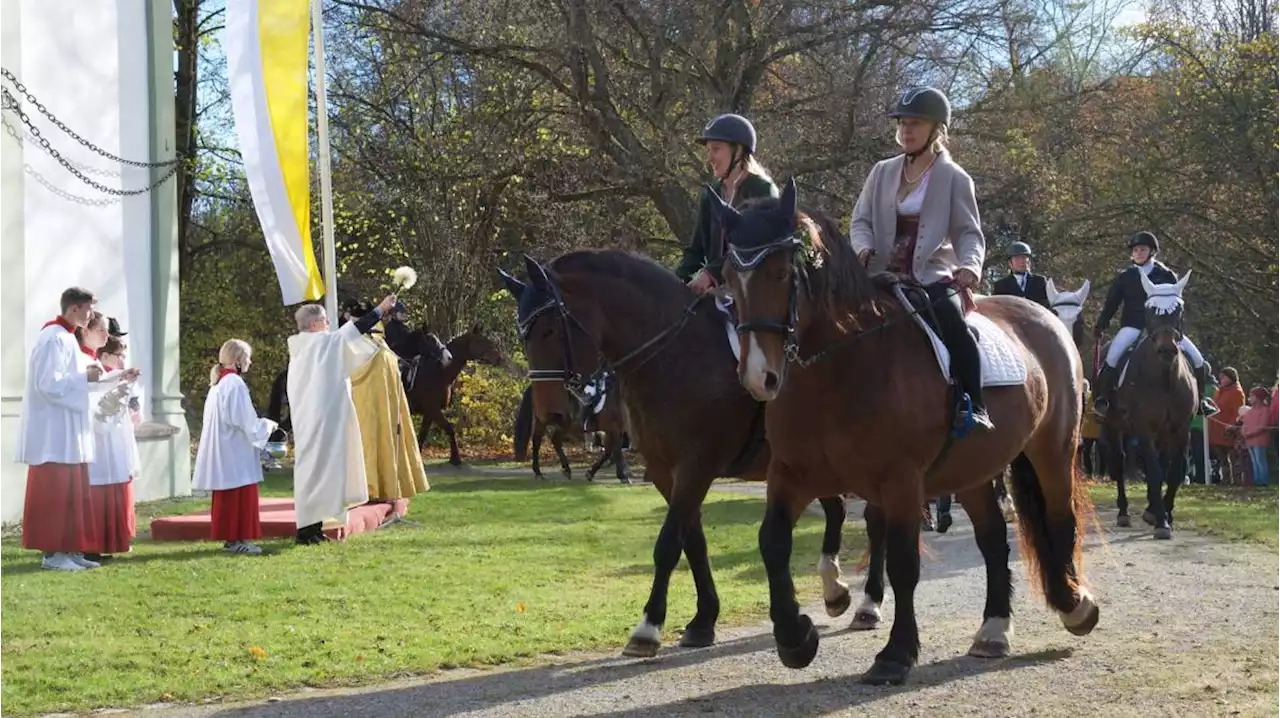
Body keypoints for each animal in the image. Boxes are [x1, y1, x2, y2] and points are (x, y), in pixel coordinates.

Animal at [499, 254, 890, 660]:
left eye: (548, 330)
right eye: (524, 335)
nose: (552, 413)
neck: (676, 355)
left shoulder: (696, 466)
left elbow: (669, 544)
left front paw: (648, 627)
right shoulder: (665, 472)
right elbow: (693, 542)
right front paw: (703, 621)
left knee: (876, 522)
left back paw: (869, 604)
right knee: (838, 510)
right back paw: (834, 590)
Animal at [716, 177, 1095, 680]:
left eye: (781, 273)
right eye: (729, 276)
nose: (760, 376)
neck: (839, 366)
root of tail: (1045, 317)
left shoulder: (899, 480)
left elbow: (903, 563)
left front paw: (896, 653)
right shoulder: (791, 473)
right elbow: (773, 542)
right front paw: (796, 638)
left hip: (1052, 449)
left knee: (1058, 516)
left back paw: (1076, 605)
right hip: (971, 470)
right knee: (994, 540)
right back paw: (994, 630)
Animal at [1095, 270, 1192, 537]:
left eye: (1179, 310)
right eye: (1150, 310)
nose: (1167, 350)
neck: (1165, 378)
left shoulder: (1181, 428)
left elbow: (1174, 472)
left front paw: (1163, 512)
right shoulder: (1143, 427)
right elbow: (1156, 472)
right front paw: (1162, 522)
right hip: (1113, 426)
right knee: (1119, 464)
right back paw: (1124, 513)